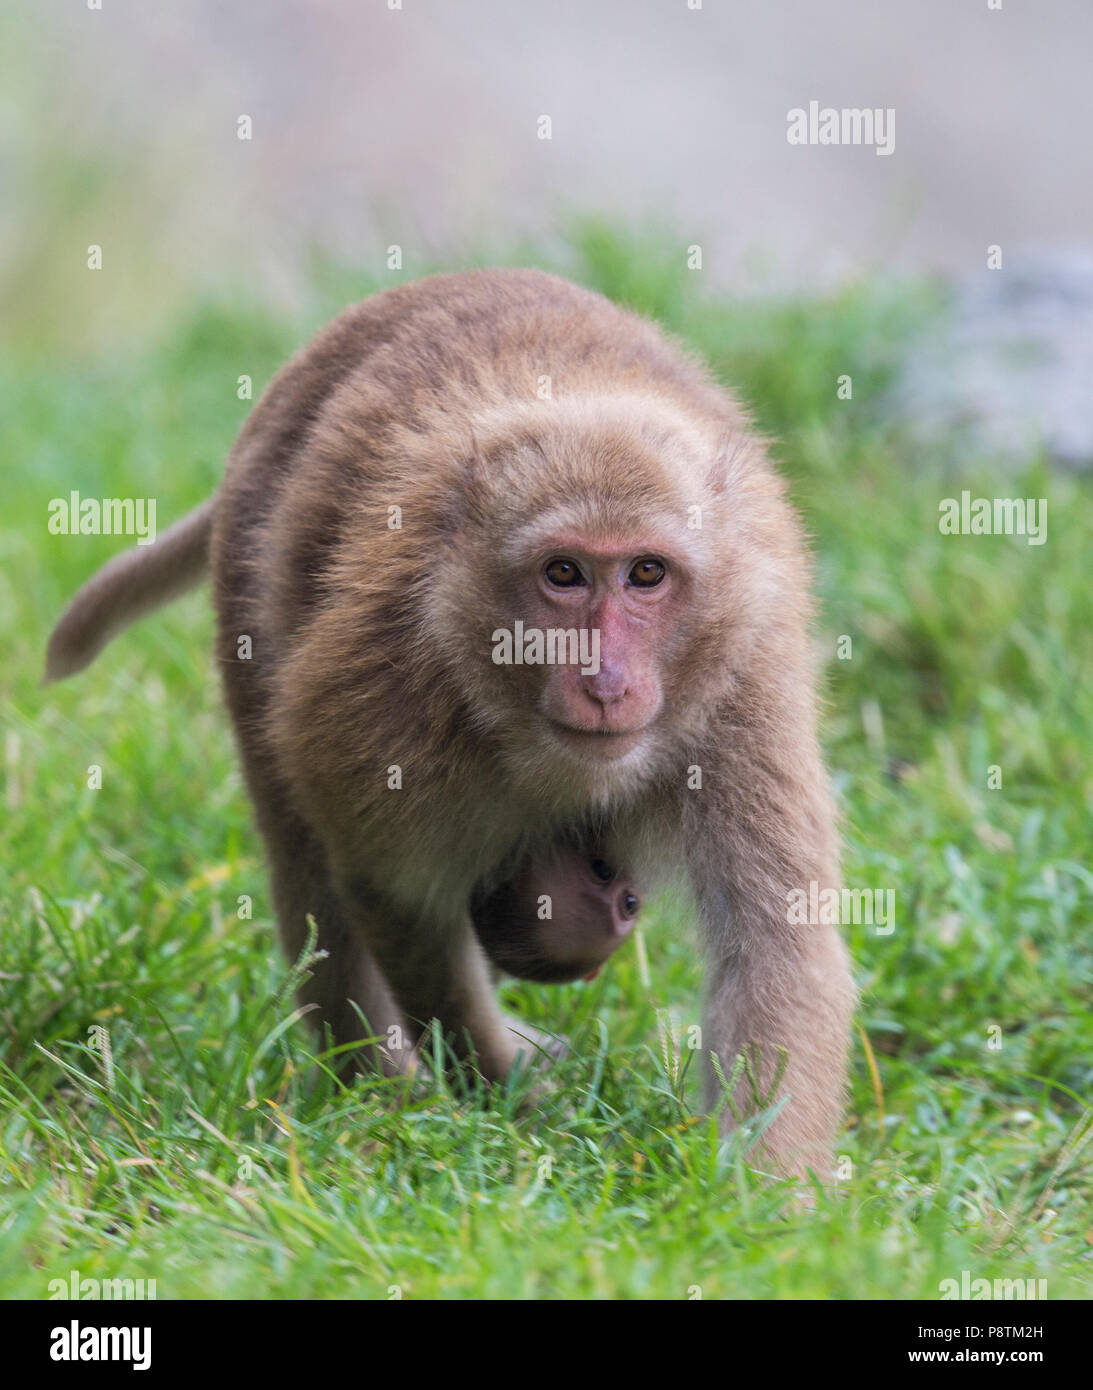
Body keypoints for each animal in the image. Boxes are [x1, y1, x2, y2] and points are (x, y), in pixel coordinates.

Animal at [46, 268, 851, 1173]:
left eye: (646, 574)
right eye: (563, 574)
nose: (605, 681)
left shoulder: (741, 687)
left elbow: (774, 939)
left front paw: (763, 1192)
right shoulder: (382, 691)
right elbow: (395, 894)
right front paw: (497, 1087)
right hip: (250, 567)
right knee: (305, 858)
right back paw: (370, 1087)